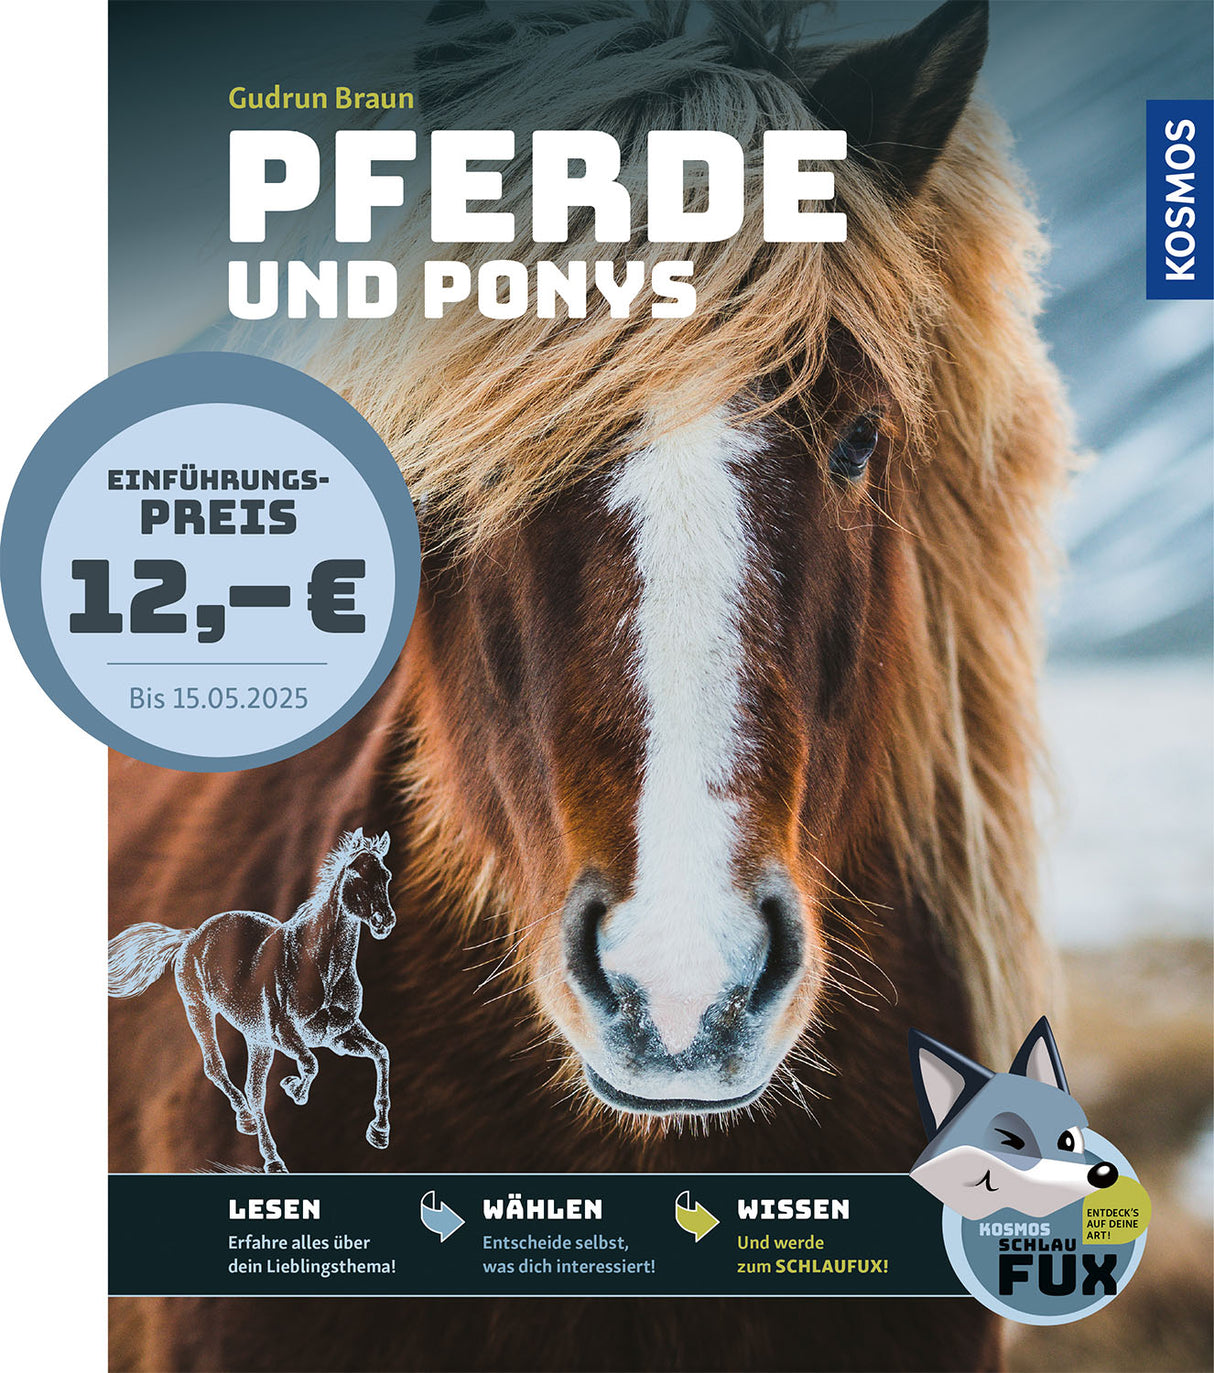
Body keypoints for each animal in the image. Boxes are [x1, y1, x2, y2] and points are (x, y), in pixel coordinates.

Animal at [107, 830, 395, 1173]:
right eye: (354, 874)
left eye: (386, 875)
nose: (384, 921)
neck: (321, 968)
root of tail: (191, 937)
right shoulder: (285, 1034)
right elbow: (311, 1064)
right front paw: (294, 1089)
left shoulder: (337, 1034)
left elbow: (381, 1054)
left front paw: (379, 1132)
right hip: (200, 1012)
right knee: (217, 1069)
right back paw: (260, 1139)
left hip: (257, 1040)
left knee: (254, 1091)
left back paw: (261, 1140)